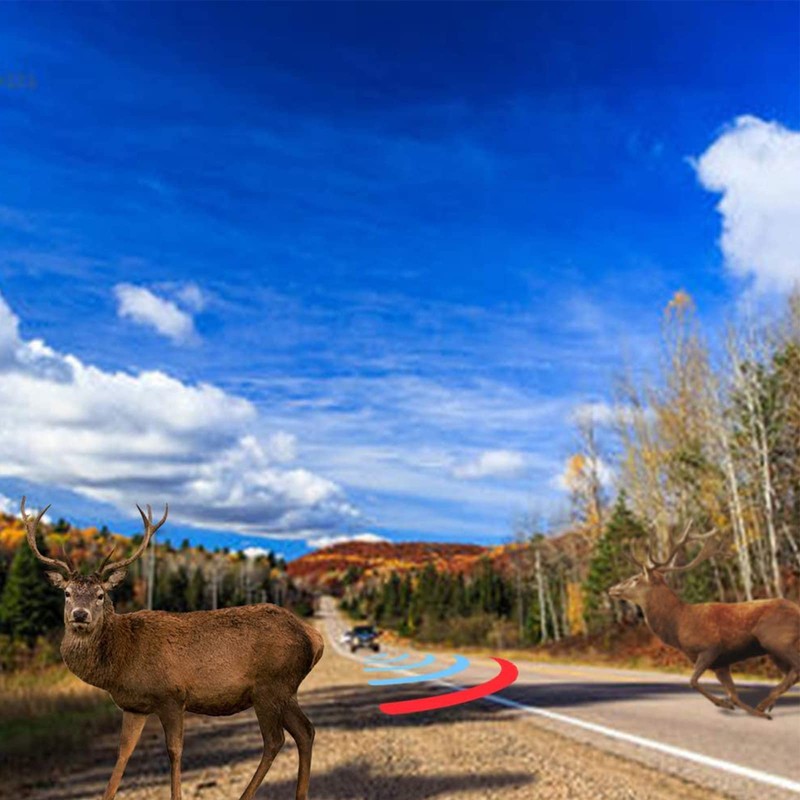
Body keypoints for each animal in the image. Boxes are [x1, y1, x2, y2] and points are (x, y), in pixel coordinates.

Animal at [21, 497, 324, 800]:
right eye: (67, 593)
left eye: (100, 595)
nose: (80, 614)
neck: (122, 656)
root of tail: (314, 637)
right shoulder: (134, 706)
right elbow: (123, 754)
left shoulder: (172, 695)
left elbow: (174, 751)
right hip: (285, 691)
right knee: (305, 731)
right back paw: (300, 794)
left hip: (269, 687)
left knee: (275, 740)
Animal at [608, 522, 800, 720]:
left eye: (635, 578)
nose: (612, 589)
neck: (678, 624)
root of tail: (797, 609)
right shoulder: (721, 663)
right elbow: (733, 694)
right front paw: (747, 709)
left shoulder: (711, 648)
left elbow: (693, 681)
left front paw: (726, 704)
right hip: (775, 651)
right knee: (792, 672)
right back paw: (766, 706)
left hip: (777, 640)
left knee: (797, 669)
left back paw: (765, 703)